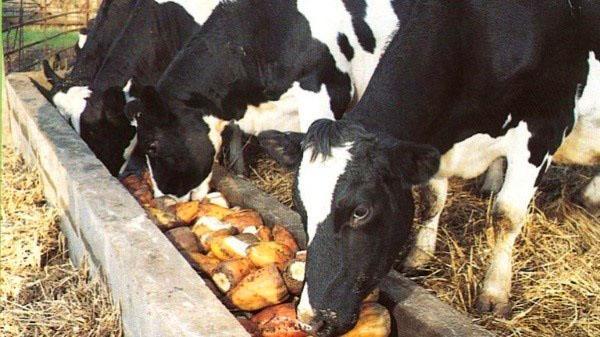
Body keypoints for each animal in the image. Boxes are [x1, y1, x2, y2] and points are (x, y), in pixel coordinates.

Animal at [262, 1, 600, 334]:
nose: (310, 319)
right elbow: (432, 200)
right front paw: (419, 256)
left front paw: (495, 293)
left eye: (361, 211)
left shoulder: (544, 129)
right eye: (300, 207)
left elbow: (506, 215)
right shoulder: (434, 143)